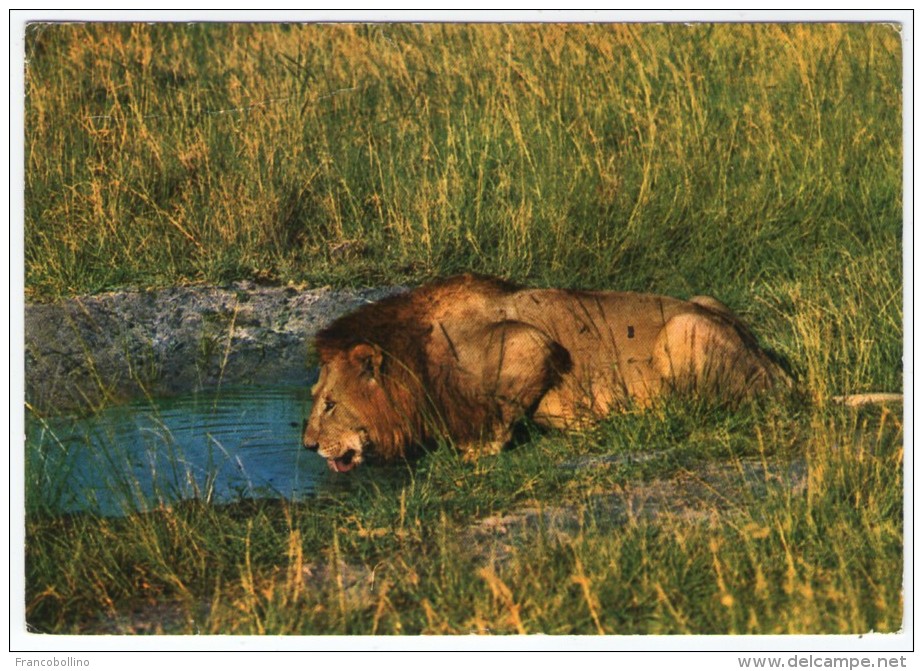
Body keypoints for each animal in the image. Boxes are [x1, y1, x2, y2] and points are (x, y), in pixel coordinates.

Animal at [300, 272, 792, 472]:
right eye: (316, 400)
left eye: (330, 405)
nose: (306, 447)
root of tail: (774, 368)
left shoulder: (528, 343)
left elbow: (498, 413)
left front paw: (478, 450)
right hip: (707, 301)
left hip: (683, 328)